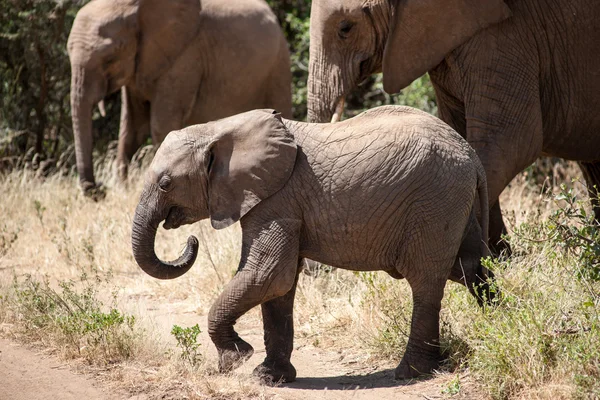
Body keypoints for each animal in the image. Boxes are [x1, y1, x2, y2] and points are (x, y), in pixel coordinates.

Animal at [67, 0, 292, 195]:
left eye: (110, 57)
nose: (99, 190)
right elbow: (132, 128)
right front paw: (125, 190)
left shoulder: (185, 57)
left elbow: (160, 126)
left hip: (278, 65)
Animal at [130, 106, 492, 382]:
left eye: (165, 184)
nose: (189, 240)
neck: (219, 128)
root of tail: (472, 156)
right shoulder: (276, 201)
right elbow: (279, 286)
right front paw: (269, 377)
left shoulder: (277, 199)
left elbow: (268, 274)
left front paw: (235, 360)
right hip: (452, 202)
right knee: (472, 268)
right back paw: (494, 323)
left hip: (435, 201)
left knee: (426, 281)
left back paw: (410, 373)